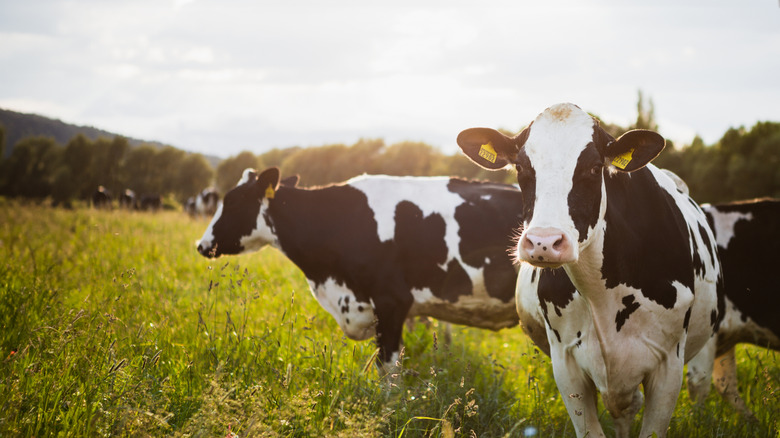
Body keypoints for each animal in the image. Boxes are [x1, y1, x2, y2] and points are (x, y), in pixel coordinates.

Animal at [456, 103, 723, 438]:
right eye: (520, 168)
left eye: (595, 168)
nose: (543, 242)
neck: (603, 296)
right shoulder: (566, 364)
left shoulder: (668, 365)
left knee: (699, 383)